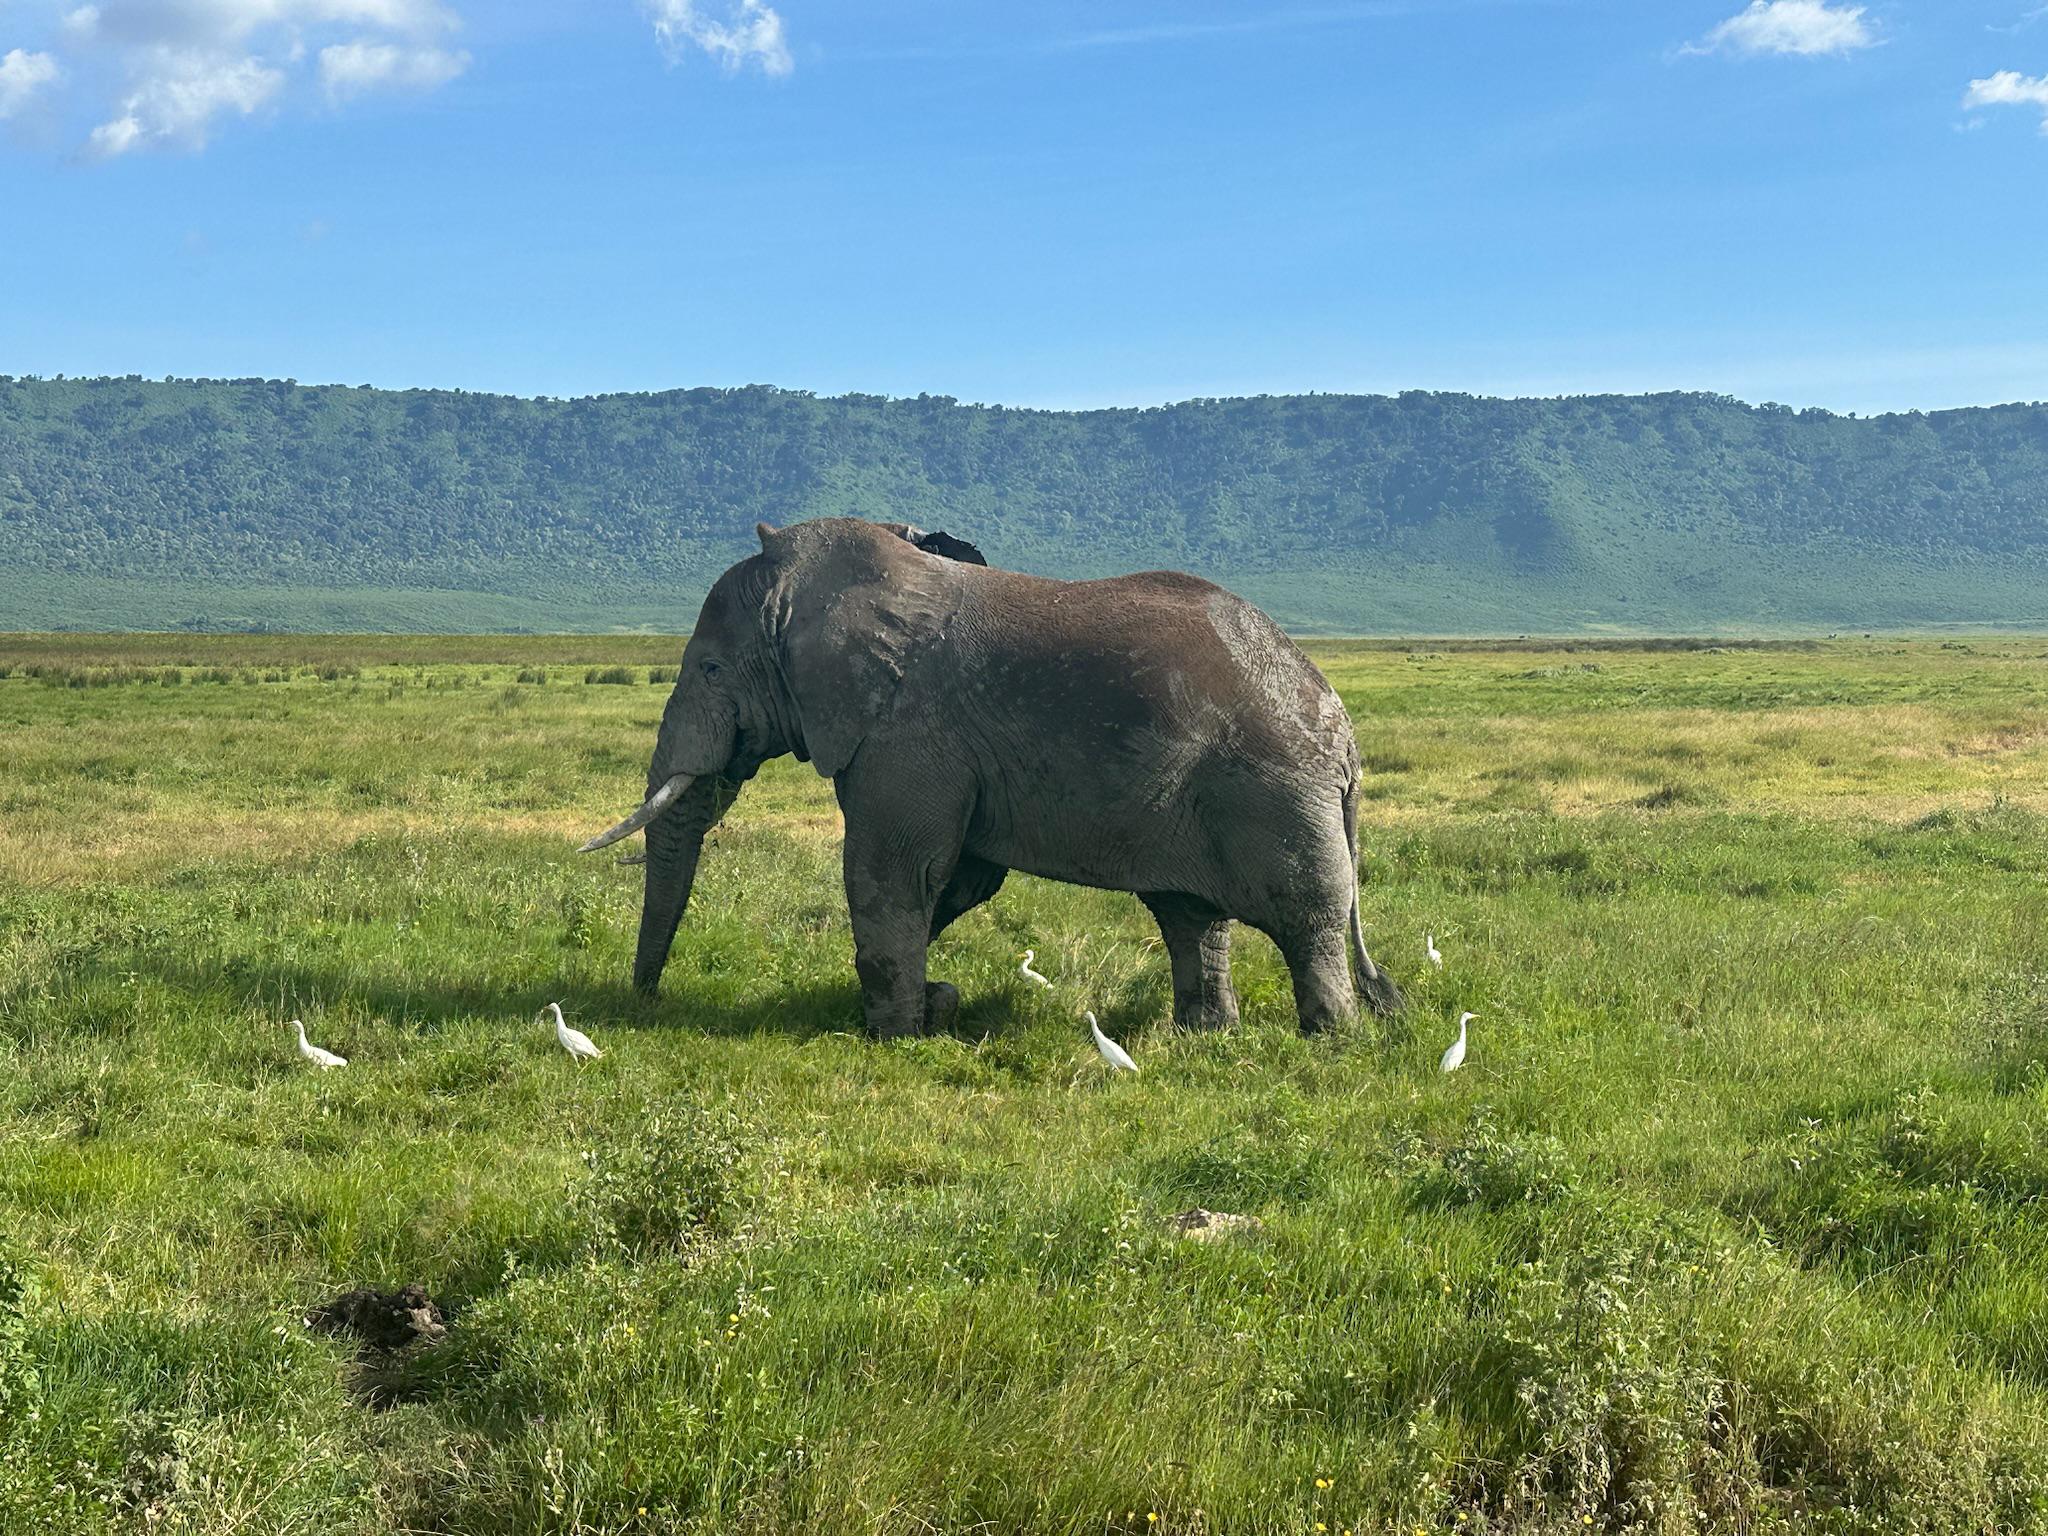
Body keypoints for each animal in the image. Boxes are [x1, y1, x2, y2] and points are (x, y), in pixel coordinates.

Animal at [579, 517, 1404, 1039]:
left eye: (711, 669)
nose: (644, 1002)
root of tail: (1342, 733)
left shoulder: (907, 732)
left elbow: (896, 871)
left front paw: (894, 1035)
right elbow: (958, 880)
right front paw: (931, 1007)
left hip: (1272, 790)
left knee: (1307, 915)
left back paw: (1330, 1039)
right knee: (1190, 917)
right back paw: (1205, 1037)